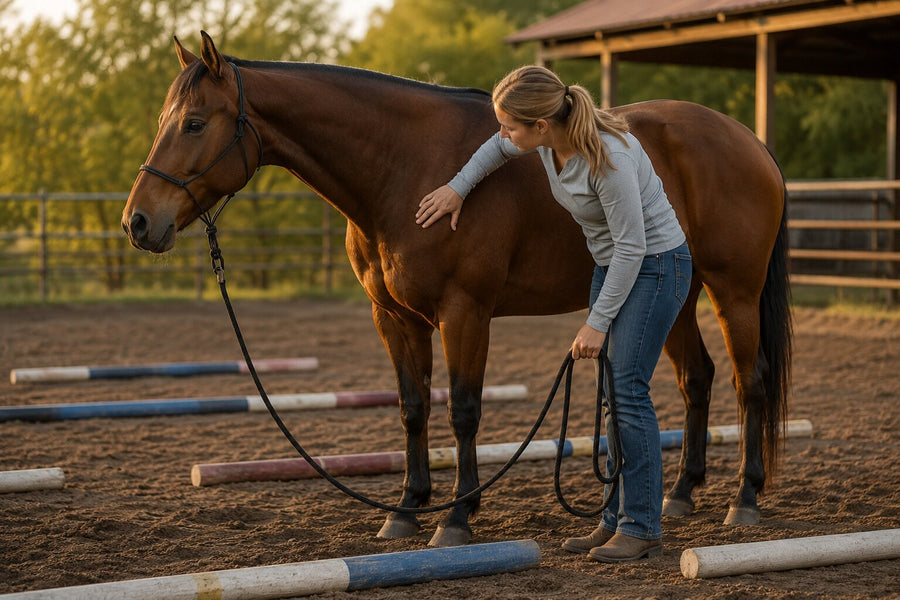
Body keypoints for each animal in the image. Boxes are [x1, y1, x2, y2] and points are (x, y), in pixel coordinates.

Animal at [122, 32, 791, 548]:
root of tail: (750, 141)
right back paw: (680, 494)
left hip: (732, 292)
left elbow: (463, 411)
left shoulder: (465, 313)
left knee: (748, 381)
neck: (406, 167)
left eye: (194, 123)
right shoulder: (394, 318)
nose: (138, 222)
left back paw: (745, 498)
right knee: (697, 379)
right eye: (163, 121)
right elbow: (413, 408)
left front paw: (457, 518)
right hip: (670, 296)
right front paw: (405, 510)